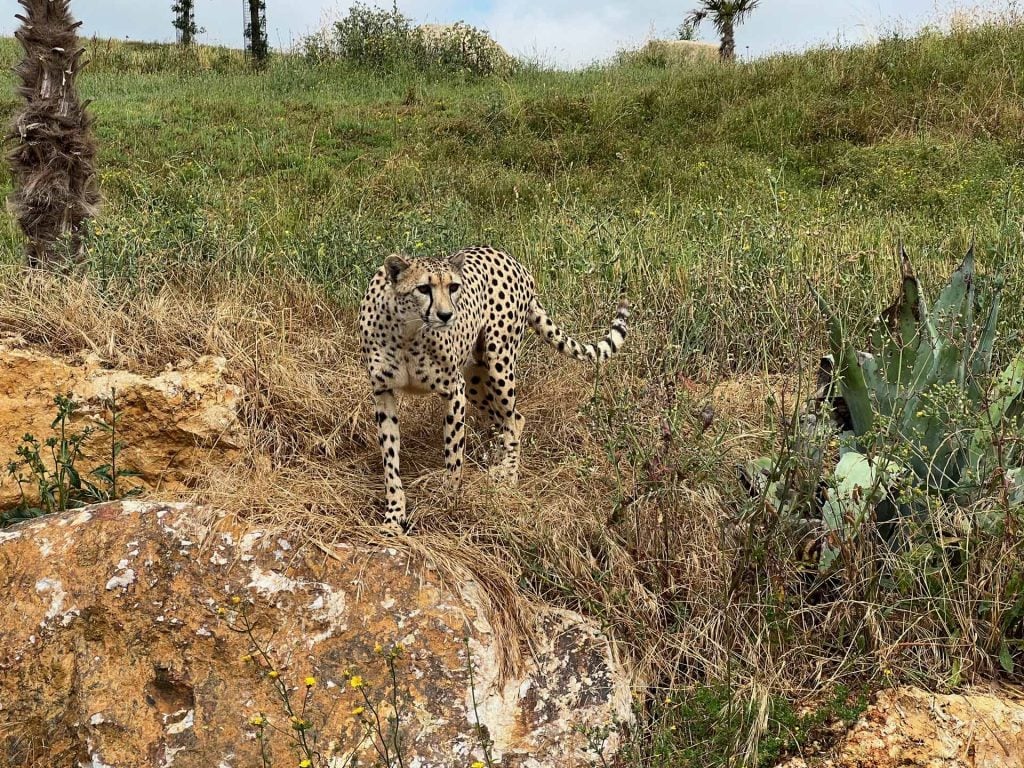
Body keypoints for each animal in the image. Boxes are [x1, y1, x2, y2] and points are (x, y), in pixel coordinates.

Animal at [360, 247, 630, 536]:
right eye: (423, 288)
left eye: (453, 287)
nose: (446, 315)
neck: (407, 330)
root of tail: (510, 258)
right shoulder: (383, 393)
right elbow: (390, 461)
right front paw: (394, 516)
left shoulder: (454, 390)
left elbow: (454, 454)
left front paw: (448, 502)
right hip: (475, 376)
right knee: (509, 419)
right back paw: (498, 464)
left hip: (499, 363)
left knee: (513, 421)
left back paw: (507, 477)